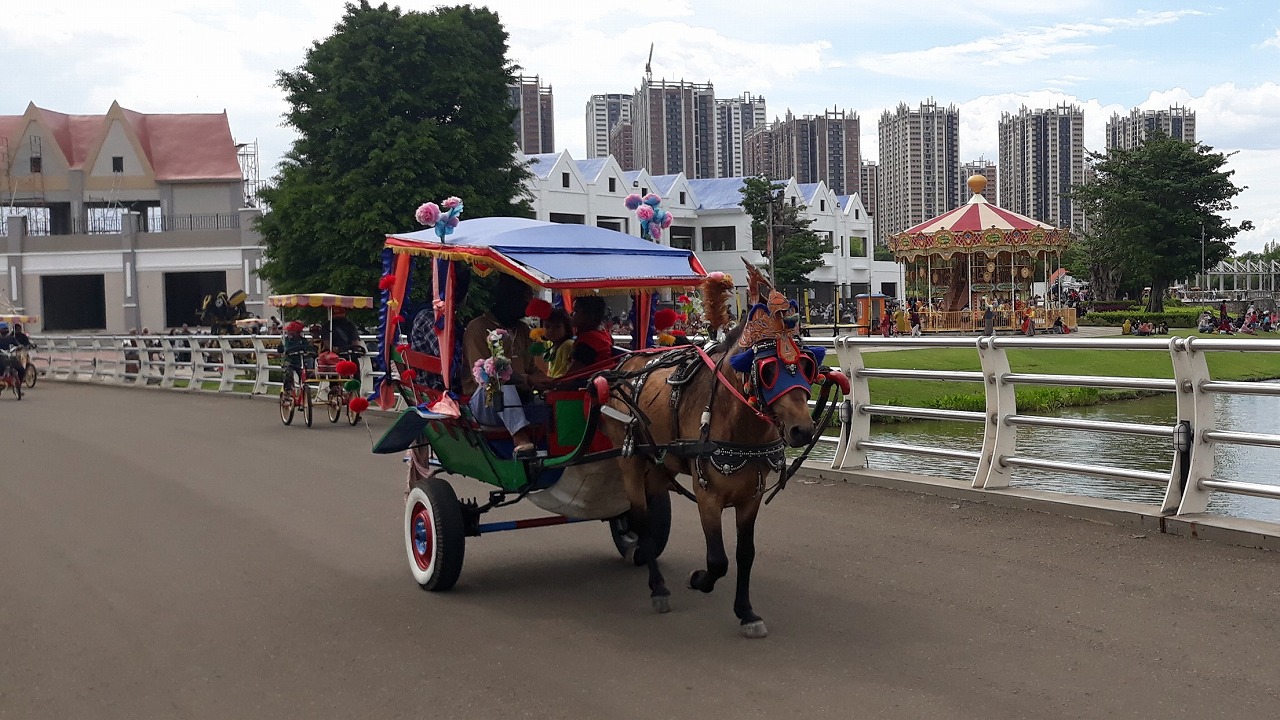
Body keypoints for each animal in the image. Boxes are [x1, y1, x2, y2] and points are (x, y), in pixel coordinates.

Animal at [593, 267, 824, 632]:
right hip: (630, 459)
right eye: (768, 370)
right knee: (641, 519)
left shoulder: (750, 497)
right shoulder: (707, 496)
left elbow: (745, 554)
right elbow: (717, 559)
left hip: (661, 464)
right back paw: (657, 586)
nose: (802, 429)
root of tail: (625, 365)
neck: (735, 422)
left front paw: (746, 611)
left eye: (806, 367)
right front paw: (699, 579)